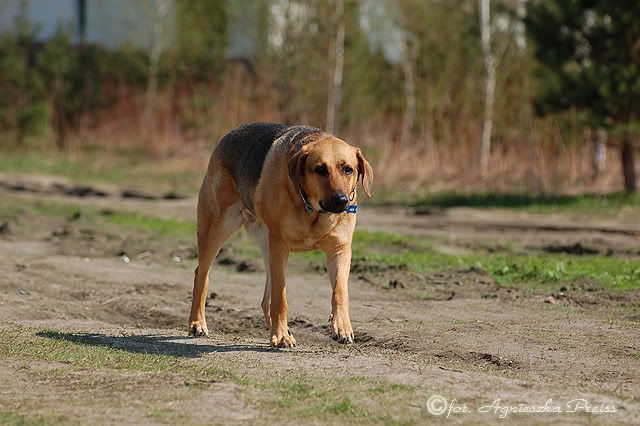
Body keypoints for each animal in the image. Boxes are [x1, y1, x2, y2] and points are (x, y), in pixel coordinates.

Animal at [188, 122, 373, 348]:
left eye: (348, 169)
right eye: (320, 169)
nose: (341, 200)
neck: (313, 211)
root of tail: (229, 135)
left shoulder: (340, 250)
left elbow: (340, 291)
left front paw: (342, 327)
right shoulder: (280, 246)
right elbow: (281, 297)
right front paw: (281, 335)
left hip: (266, 247)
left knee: (265, 299)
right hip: (217, 230)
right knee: (201, 275)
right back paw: (197, 323)